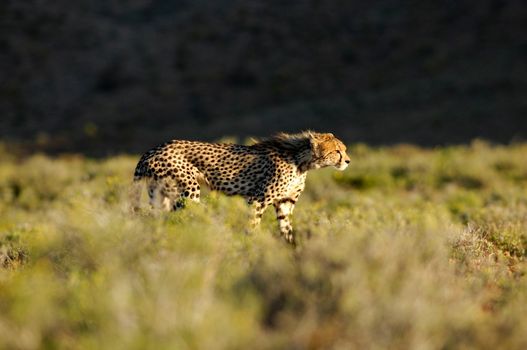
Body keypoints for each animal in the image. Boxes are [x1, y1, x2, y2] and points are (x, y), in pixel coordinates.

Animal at [133, 131, 350, 243]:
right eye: (337, 151)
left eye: (344, 150)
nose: (348, 161)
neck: (301, 161)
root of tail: (152, 149)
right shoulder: (256, 200)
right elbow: (252, 226)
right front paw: (250, 248)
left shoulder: (285, 203)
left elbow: (286, 230)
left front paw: (292, 252)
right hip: (188, 191)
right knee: (182, 217)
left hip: (161, 196)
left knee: (159, 220)